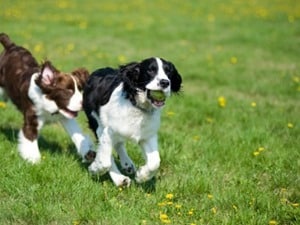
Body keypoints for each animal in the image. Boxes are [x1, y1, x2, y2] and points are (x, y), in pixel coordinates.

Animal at [0, 33, 94, 163]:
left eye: (80, 90)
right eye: (68, 91)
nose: (84, 104)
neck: (49, 103)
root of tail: (11, 46)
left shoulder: (65, 117)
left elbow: (77, 134)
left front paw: (88, 154)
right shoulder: (32, 117)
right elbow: (30, 138)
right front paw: (34, 161)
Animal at [83, 56, 183, 186]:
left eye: (169, 71)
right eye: (150, 70)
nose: (165, 82)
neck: (136, 106)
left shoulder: (147, 136)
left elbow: (155, 162)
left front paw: (141, 176)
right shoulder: (108, 131)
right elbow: (105, 161)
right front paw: (94, 169)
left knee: (119, 143)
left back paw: (127, 165)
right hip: (97, 124)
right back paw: (120, 179)